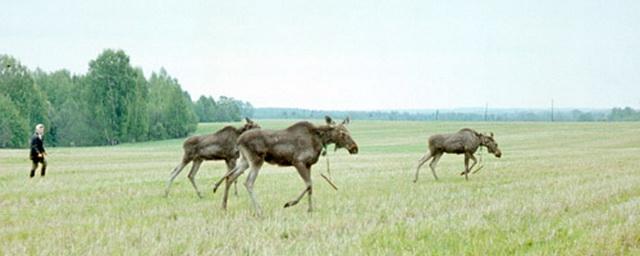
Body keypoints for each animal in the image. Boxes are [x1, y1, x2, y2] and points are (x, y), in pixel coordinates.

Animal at [212, 116, 358, 214]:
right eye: (342, 133)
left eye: (348, 131)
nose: (354, 148)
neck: (320, 140)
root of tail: (238, 140)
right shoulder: (298, 162)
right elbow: (308, 184)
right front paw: (289, 203)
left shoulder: (308, 165)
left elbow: (310, 186)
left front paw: (310, 209)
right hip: (256, 160)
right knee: (248, 182)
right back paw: (259, 210)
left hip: (245, 161)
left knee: (230, 177)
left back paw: (224, 206)